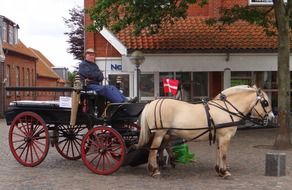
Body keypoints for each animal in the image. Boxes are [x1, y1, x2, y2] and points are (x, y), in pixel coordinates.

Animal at [136, 85, 274, 177]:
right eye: (265, 103)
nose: (272, 118)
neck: (226, 109)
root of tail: (151, 103)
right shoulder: (225, 136)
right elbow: (224, 154)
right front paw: (224, 172)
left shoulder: (219, 137)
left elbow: (219, 152)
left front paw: (219, 169)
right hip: (160, 133)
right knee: (153, 150)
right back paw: (154, 170)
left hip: (164, 134)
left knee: (158, 149)